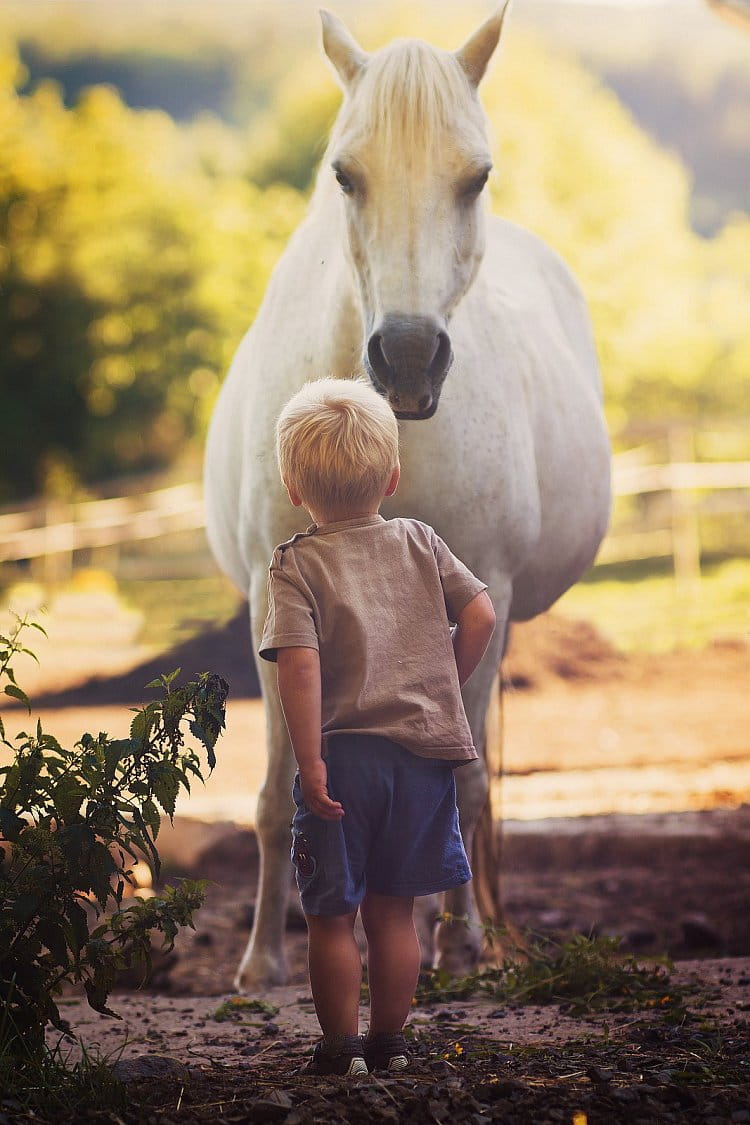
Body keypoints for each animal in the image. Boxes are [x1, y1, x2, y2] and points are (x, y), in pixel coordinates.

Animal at [203, 4, 611, 985]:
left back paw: (460, 930)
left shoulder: (483, 594)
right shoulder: (275, 604)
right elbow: (278, 790)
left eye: (477, 176)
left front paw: (461, 945)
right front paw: (262, 962)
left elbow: (462, 778)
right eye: (345, 174)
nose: (411, 358)